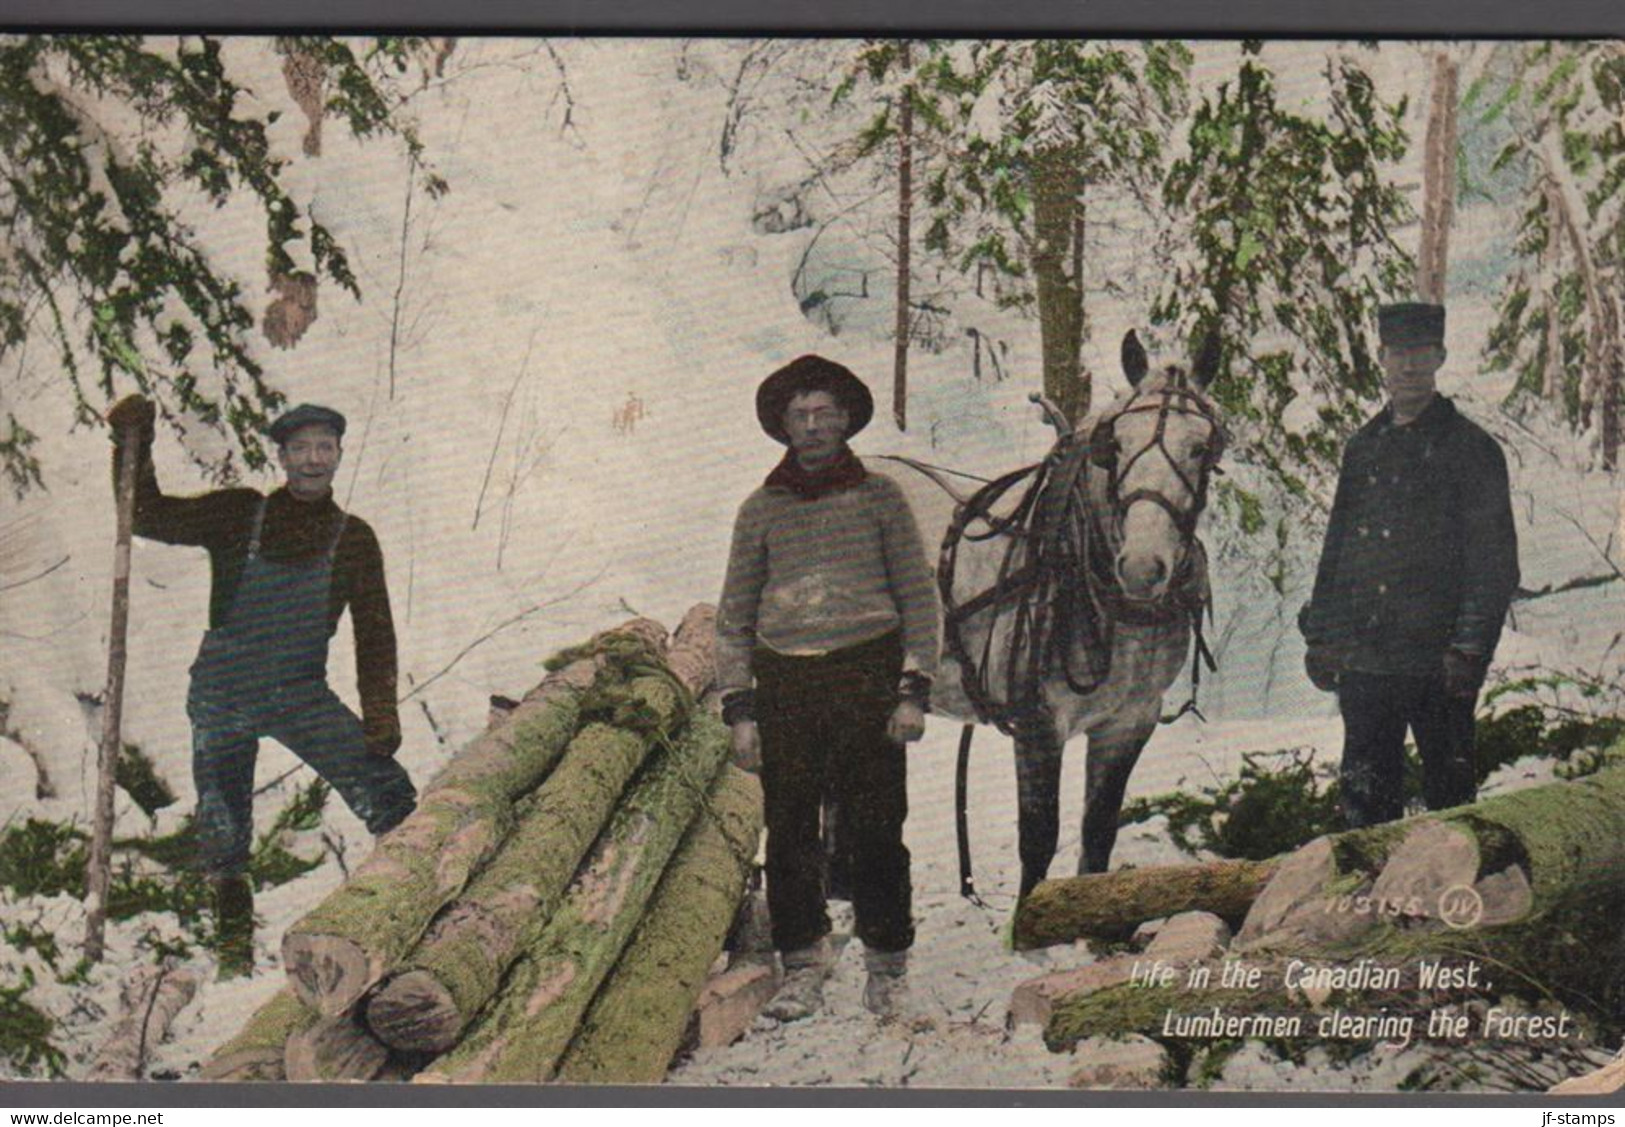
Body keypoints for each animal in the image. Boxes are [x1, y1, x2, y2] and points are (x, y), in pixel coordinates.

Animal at [890, 329, 1222, 902]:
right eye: (1116, 445)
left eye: (1201, 446)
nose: (1142, 567)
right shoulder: (1038, 724)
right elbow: (1039, 839)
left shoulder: (1128, 721)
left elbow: (1098, 832)